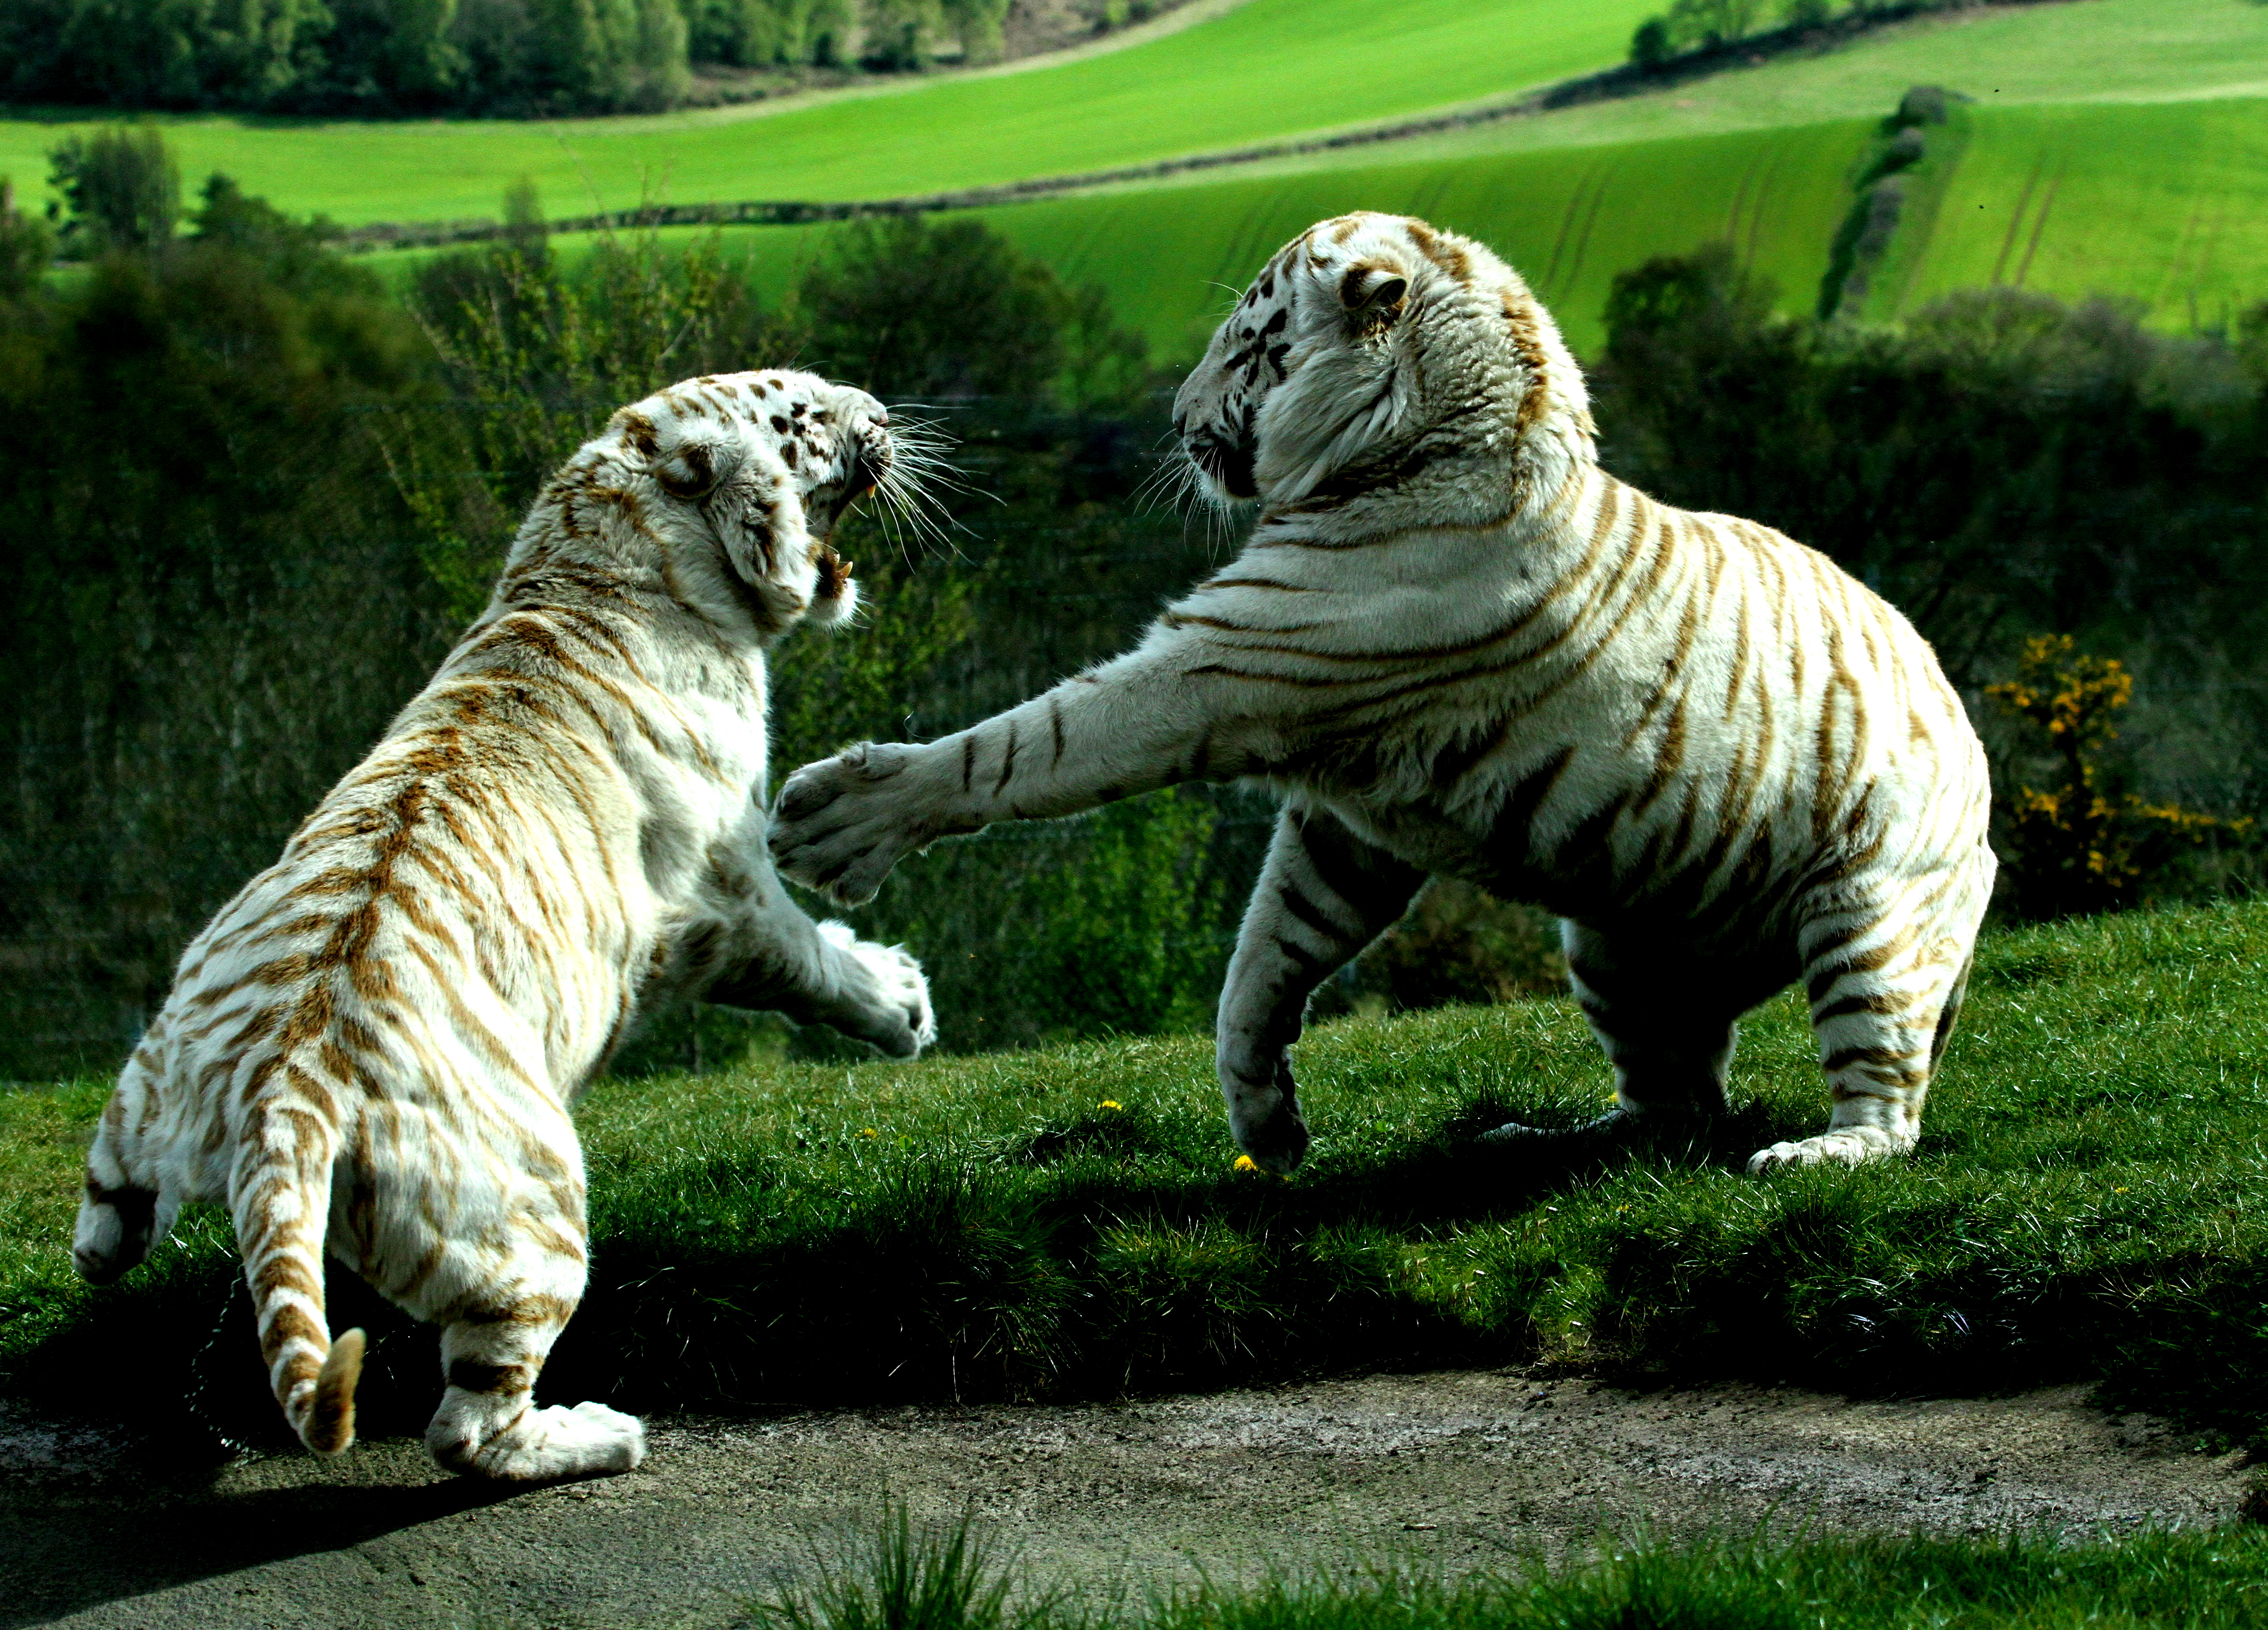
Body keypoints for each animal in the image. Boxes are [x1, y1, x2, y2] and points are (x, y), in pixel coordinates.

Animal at [73, 370, 938, 1482]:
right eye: (807, 414)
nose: (881, 409)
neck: (593, 561)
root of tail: (284, 1100)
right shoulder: (725, 891)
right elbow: (812, 960)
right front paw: (903, 1003)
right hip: (531, 1215)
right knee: (468, 1425)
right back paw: (601, 1433)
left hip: (145, 1096)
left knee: (105, 1213)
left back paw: (113, 1245)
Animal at [769, 213, 1995, 1179]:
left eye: (1249, 343)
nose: (1171, 415)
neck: (1426, 442)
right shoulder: (1345, 818)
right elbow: (1261, 960)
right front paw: (1266, 1121)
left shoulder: (1218, 666)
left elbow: (1031, 743)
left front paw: (840, 819)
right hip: (1613, 948)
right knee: (1672, 1107)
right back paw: (1534, 1139)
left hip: (1869, 912)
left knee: (1885, 1101)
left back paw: (1815, 1152)